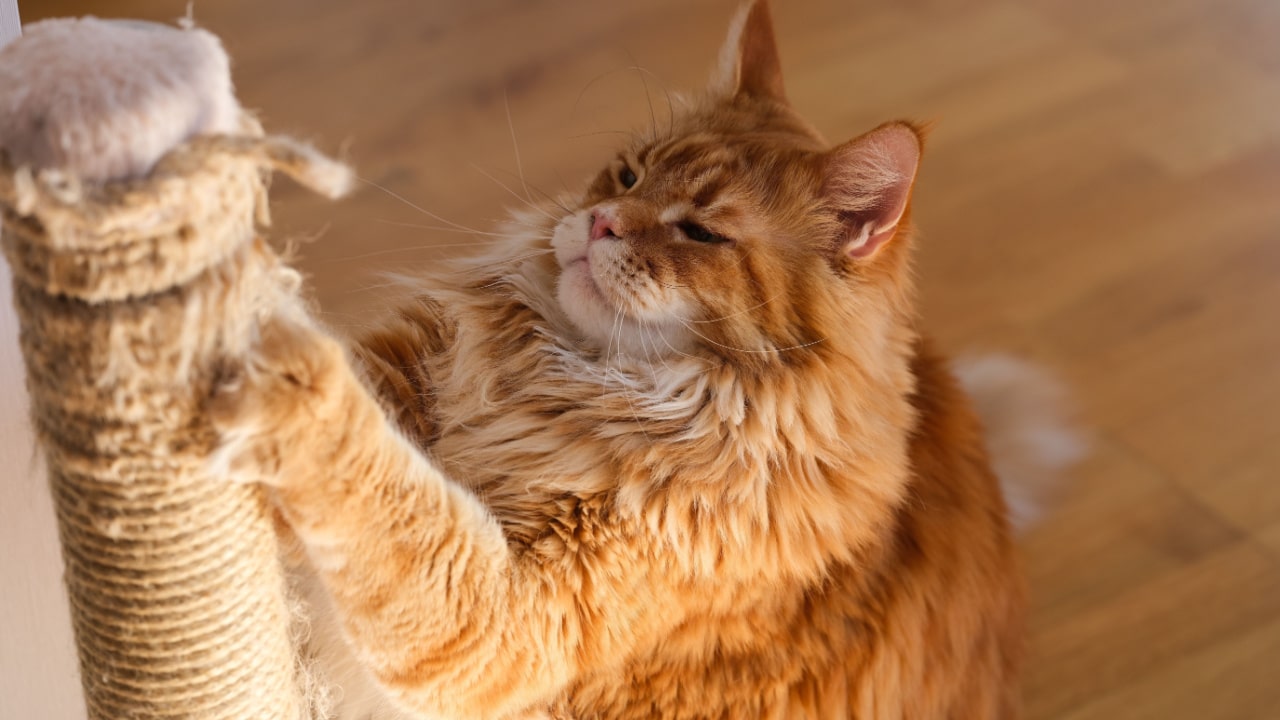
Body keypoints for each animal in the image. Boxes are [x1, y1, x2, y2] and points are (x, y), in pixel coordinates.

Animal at [209, 2, 1029, 712]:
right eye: (629, 174)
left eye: (700, 232)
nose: (602, 221)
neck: (562, 377)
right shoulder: (408, 366)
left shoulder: (504, 618)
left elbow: (377, 483)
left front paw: (280, 365)